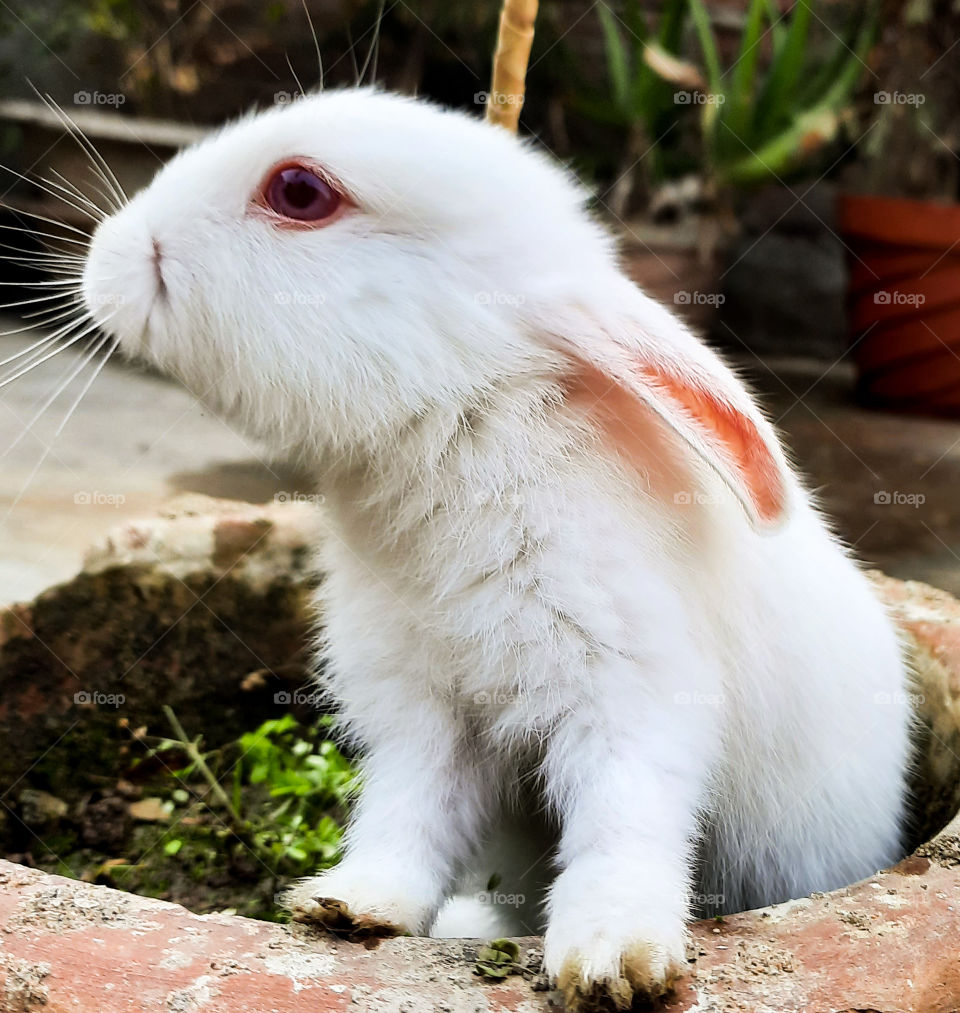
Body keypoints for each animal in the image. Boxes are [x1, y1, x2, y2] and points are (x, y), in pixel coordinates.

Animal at [80, 88, 911, 1009]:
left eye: (300, 191)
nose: (107, 250)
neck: (462, 427)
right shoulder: (426, 718)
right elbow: (409, 815)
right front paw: (351, 905)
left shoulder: (629, 693)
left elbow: (623, 823)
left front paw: (614, 959)